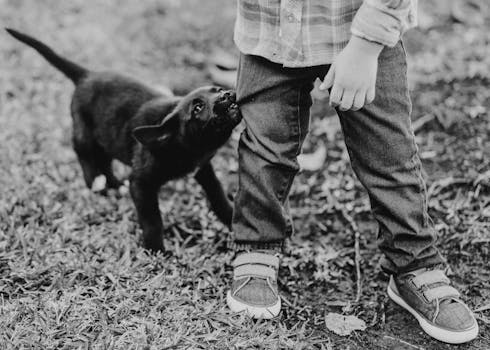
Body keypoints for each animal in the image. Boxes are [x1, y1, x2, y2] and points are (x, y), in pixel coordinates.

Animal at [5, 28, 239, 252]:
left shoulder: (204, 169)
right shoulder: (141, 183)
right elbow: (152, 220)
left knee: (104, 162)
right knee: (87, 160)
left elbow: (218, 196)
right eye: (197, 107)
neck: (185, 146)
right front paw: (156, 251)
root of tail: (87, 75)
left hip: (105, 138)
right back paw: (99, 188)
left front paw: (231, 219)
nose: (226, 95)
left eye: (218, 89)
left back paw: (115, 185)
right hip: (84, 135)